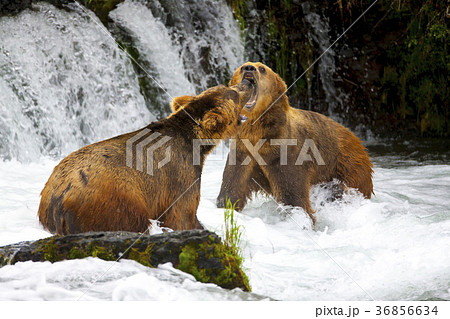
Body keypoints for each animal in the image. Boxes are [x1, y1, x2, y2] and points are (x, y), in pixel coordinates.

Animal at [216, 61, 374, 224]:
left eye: (262, 68)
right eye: (242, 67)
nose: (249, 68)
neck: (258, 133)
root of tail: (358, 141)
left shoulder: (286, 154)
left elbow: (294, 195)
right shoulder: (243, 154)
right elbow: (232, 188)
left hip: (347, 167)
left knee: (343, 189)